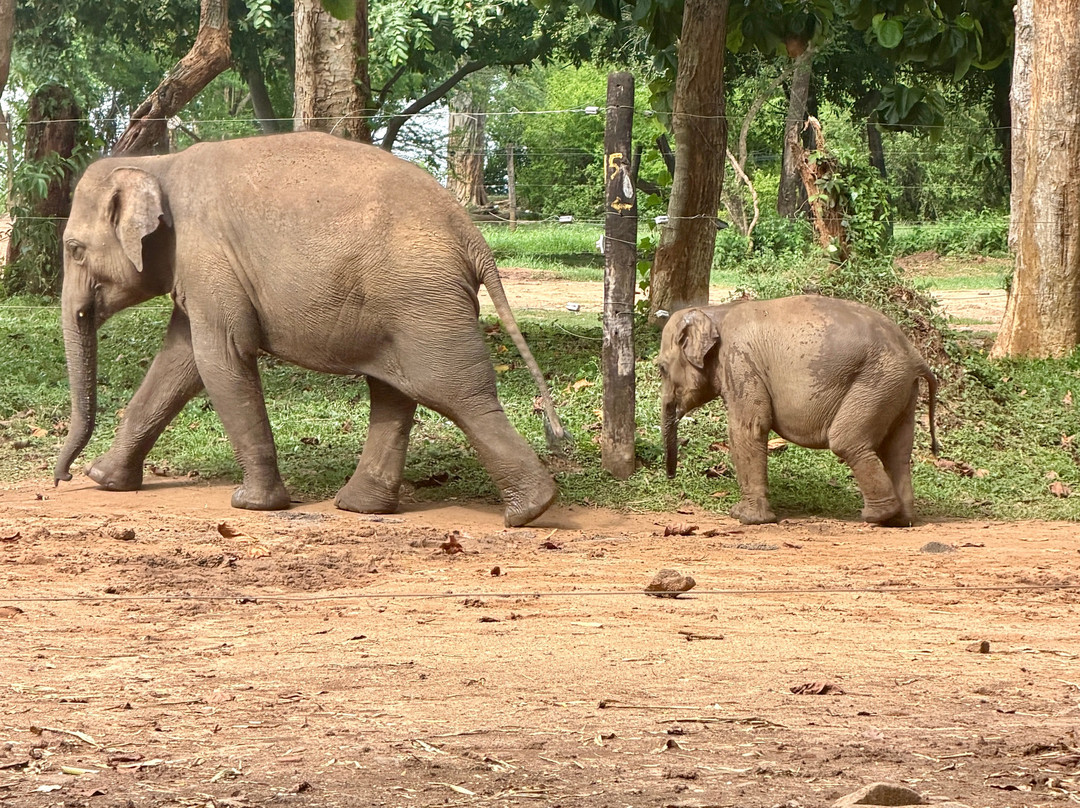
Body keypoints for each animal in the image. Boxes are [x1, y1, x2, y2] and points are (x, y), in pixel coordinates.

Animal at [54, 131, 567, 527]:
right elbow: (178, 362)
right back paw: (362, 509)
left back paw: (532, 510)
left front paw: (252, 504)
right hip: (401, 308)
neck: (157, 164)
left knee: (454, 391)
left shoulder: (208, 256)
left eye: (75, 249)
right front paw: (105, 481)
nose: (61, 479)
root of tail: (473, 235)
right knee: (395, 391)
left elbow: (220, 357)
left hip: (422, 300)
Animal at [659, 295, 940, 527]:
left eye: (661, 368)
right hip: (899, 389)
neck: (713, 311)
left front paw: (745, 518)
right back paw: (900, 520)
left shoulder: (740, 362)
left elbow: (750, 427)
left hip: (876, 383)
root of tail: (915, 356)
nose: (670, 477)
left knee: (849, 442)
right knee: (896, 451)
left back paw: (876, 517)